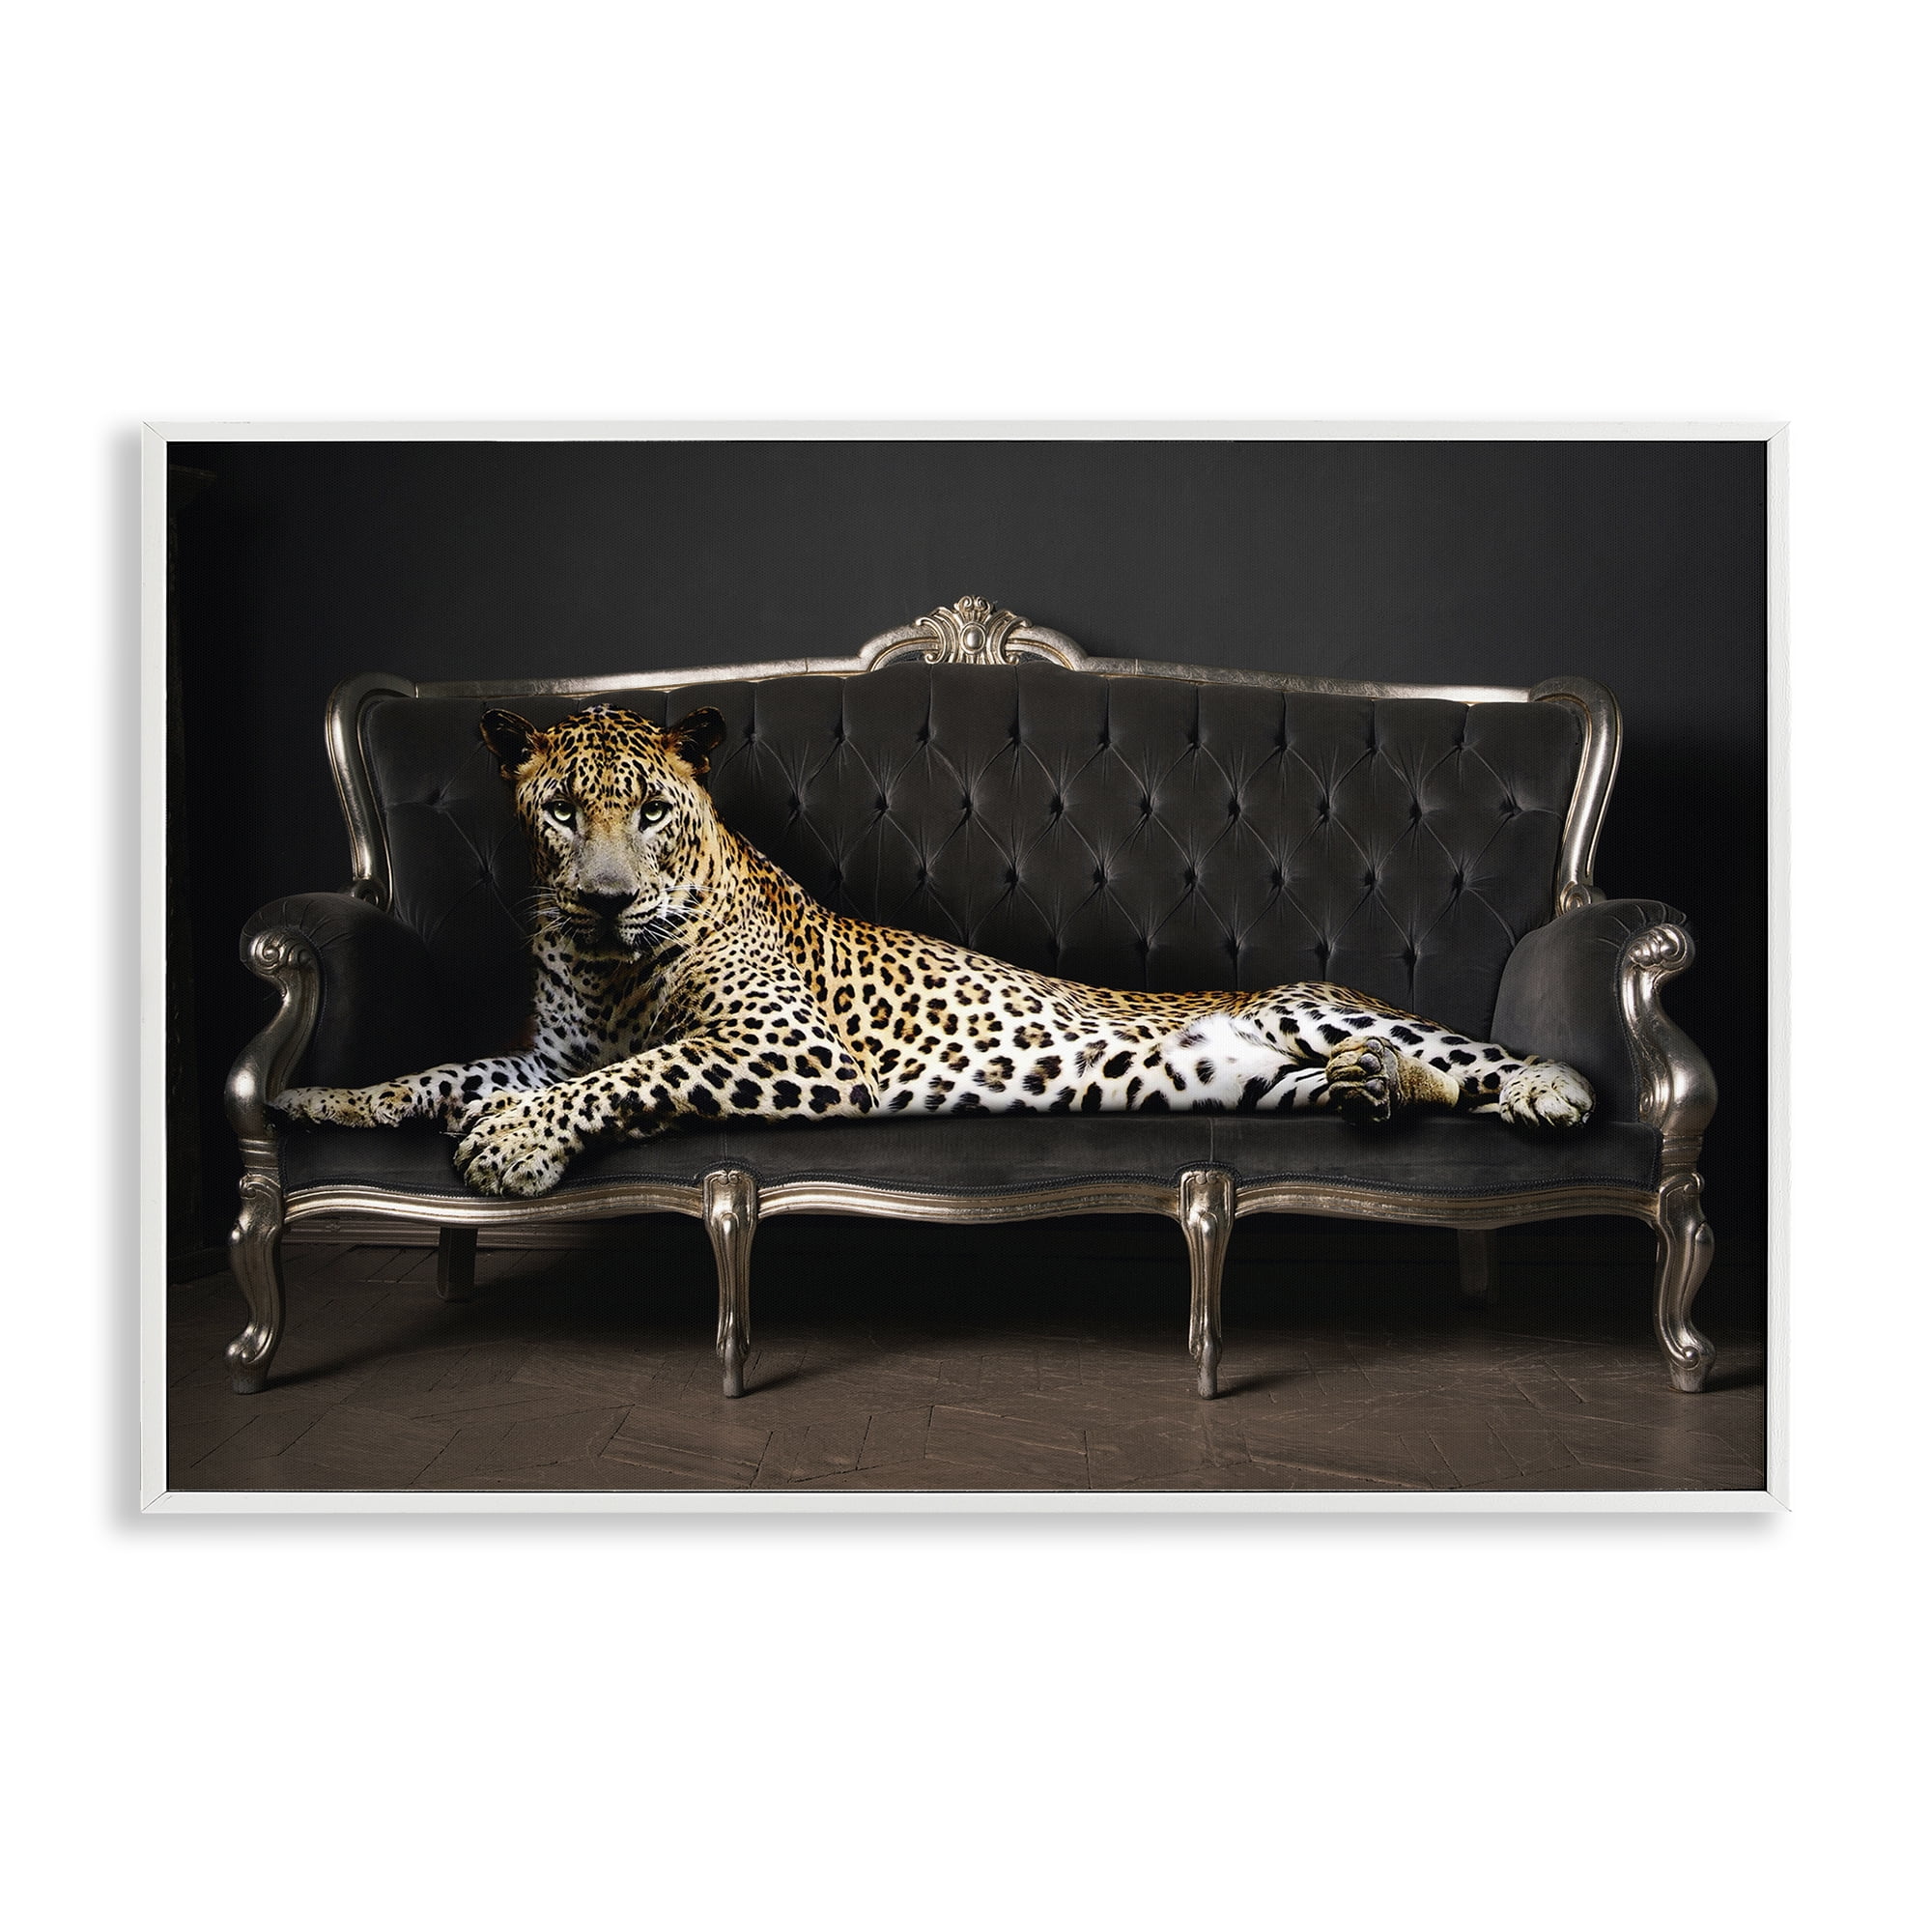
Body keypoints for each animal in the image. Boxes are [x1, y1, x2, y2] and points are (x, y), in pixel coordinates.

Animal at [273, 702, 1597, 1197]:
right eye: (559, 811)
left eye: (649, 810)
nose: (602, 899)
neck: (611, 964)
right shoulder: (549, 1049)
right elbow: (446, 1069)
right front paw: (325, 1100)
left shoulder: (788, 1047)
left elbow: (639, 1073)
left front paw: (510, 1145)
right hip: (1254, 1076)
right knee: (1393, 1083)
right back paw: (1374, 1090)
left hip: (1317, 1007)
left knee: (1466, 1058)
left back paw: (1542, 1088)